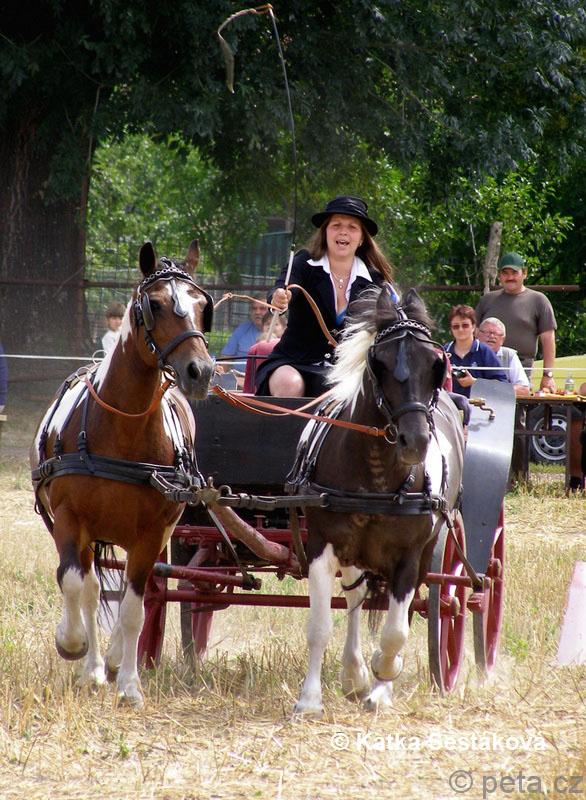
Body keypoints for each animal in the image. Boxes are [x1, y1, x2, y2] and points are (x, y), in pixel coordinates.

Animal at [30, 241, 214, 707]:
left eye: (202, 305)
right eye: (155, 304)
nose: (201, 372)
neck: (122, 428)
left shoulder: (152, 533)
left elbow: (134, 609)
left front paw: (129, 683)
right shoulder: (69, 520)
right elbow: (76, 585)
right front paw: (73, 644)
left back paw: (113, 659)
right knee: (90, 587)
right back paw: (93, 665)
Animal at [289, 286, 465, 715]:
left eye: (436, 363)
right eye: (379, 363)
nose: (414, 441)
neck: (376, 476)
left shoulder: (408, 556)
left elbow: (395, 632)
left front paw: (383, 683)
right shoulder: (322, 545)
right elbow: (320, 625)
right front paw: (310, 699)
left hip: (429, 551)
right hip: (354, 551)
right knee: (355, 596)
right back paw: (353, 673)